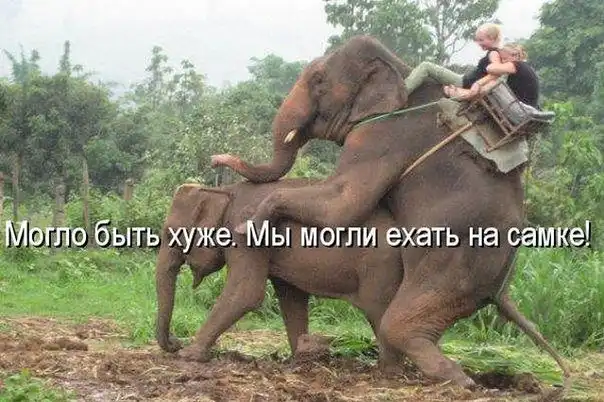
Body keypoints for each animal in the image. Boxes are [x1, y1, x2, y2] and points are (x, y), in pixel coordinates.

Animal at [155, 178, 406, 371]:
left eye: (171, 233)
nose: (175, 342)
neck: (226, 190)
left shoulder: (245, 233)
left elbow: (246, 292)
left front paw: (189, 355)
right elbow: (291, 299)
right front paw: (300, 357)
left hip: (380, 266)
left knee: (378, 310)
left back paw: (388, 370)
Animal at [210, 35, 570, 389]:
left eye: (319, 80)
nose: (217, 159)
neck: (399, 69)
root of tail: (504, 288)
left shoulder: (380, 134)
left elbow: (345, 201)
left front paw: (248, 225)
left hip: (457, 261)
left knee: (398, 324)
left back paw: (458, 381)